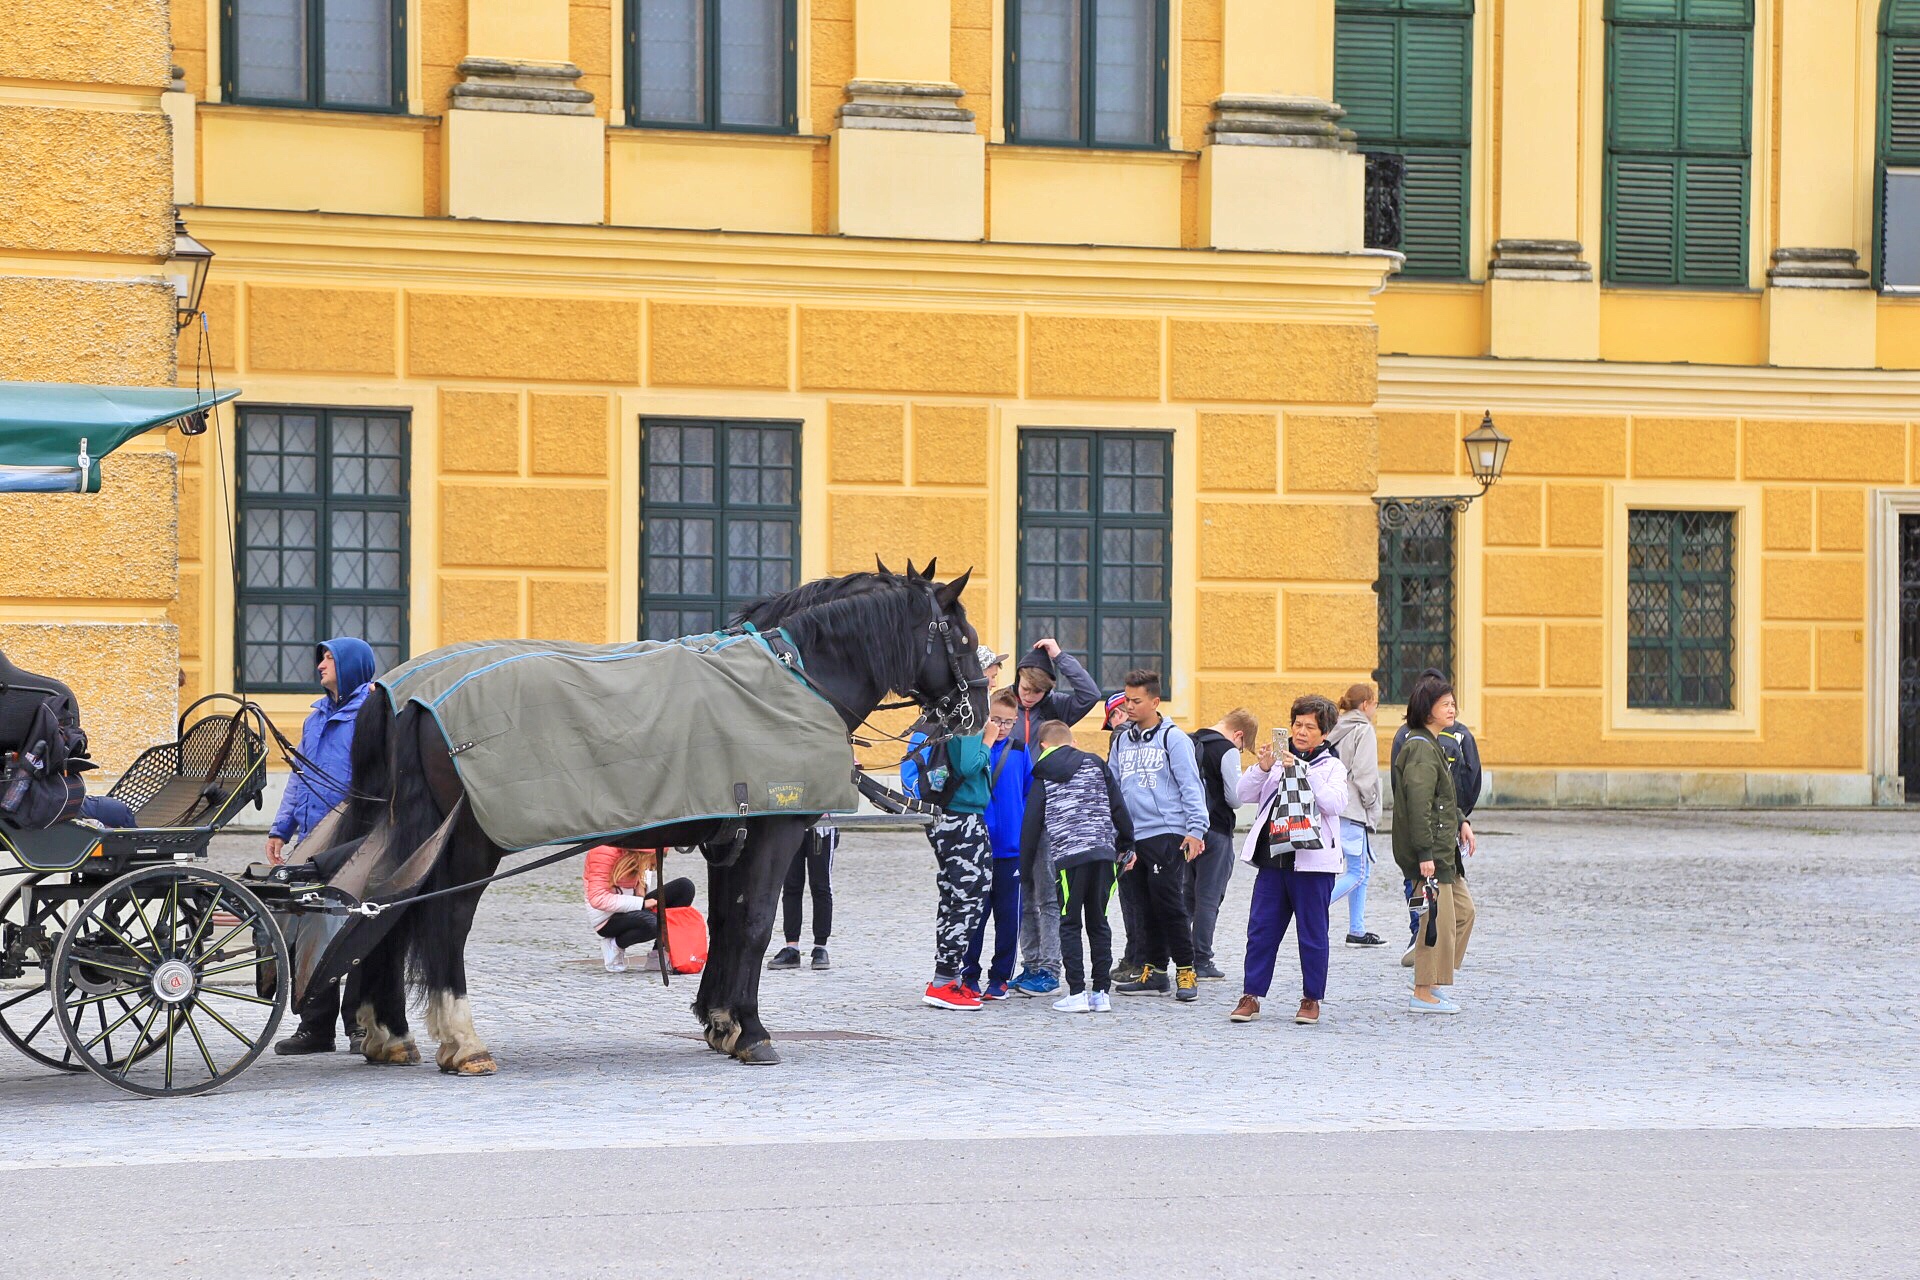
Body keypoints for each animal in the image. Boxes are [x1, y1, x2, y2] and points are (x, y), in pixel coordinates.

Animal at [309, 560, 990, 1074]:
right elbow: (755, 924)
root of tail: (404, 694)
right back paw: (462, 1041)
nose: (978, 709)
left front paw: (720, 1021)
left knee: (386, 912)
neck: (795, 680)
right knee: (441, 922)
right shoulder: (775, 833)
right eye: (960, 637)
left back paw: (388, 1032)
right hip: (470, 844)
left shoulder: (731, 835)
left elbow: (728, 921)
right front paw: (751, 1030)